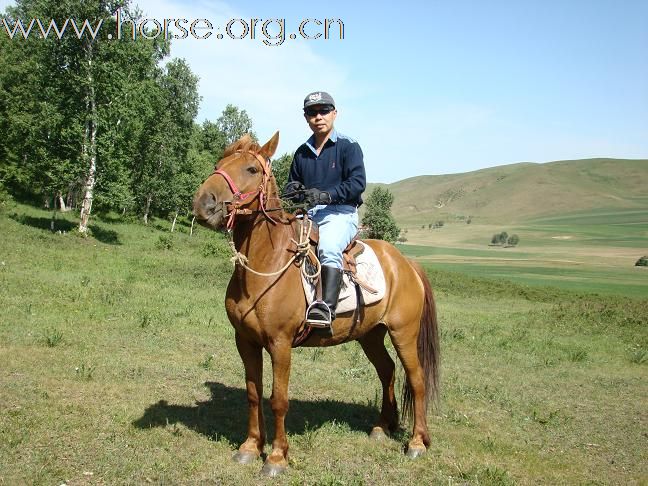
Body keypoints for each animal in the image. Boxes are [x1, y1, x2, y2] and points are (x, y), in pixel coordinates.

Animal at [192, 131, 440, 476]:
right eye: (219, 163)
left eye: (251, 169)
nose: (204, 203)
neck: (267, 262)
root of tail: (405, 263)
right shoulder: (245, 342)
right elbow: (254, 394)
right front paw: (251, 447)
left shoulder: (280, 344)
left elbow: (278, 399)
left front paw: (276, 457)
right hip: (370, 335)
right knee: (387, 371)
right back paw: (382, 427)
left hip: (404, 334)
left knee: (416, 381)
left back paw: (417, 441)